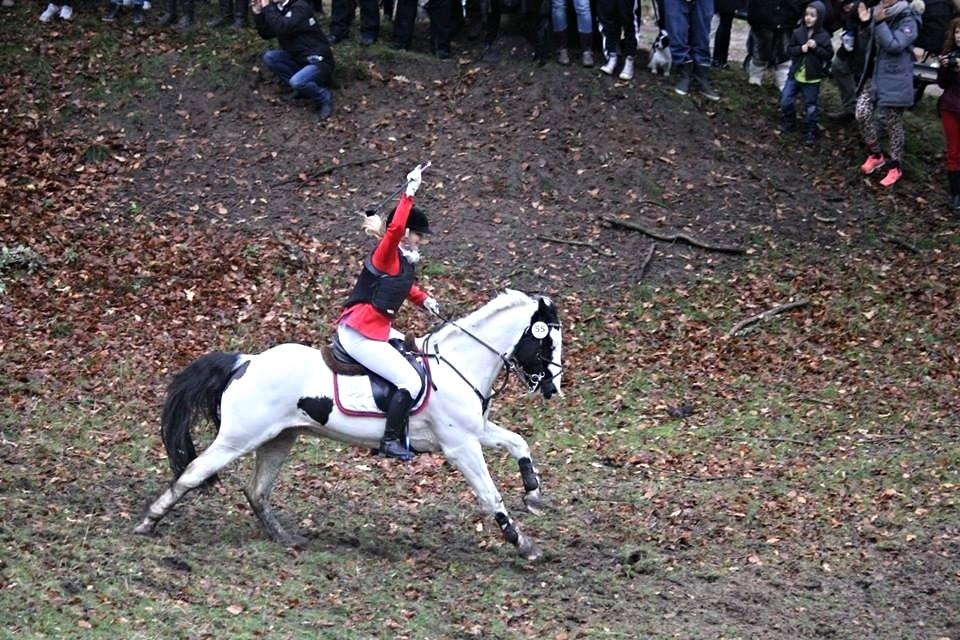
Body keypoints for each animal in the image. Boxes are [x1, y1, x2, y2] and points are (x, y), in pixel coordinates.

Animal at [131, 290, 560, 560]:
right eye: (546, 342)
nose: (552, 389)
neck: (457, 364)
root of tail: (247, 361)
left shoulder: (476, 432)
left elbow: (519, 443)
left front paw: (533, 493)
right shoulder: (461, 447)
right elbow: (490, 496)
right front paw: (523, 544)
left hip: (278, 439)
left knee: (257, 491)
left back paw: (285, 537)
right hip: (239, 438)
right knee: (194, 472)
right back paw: (148, 522)